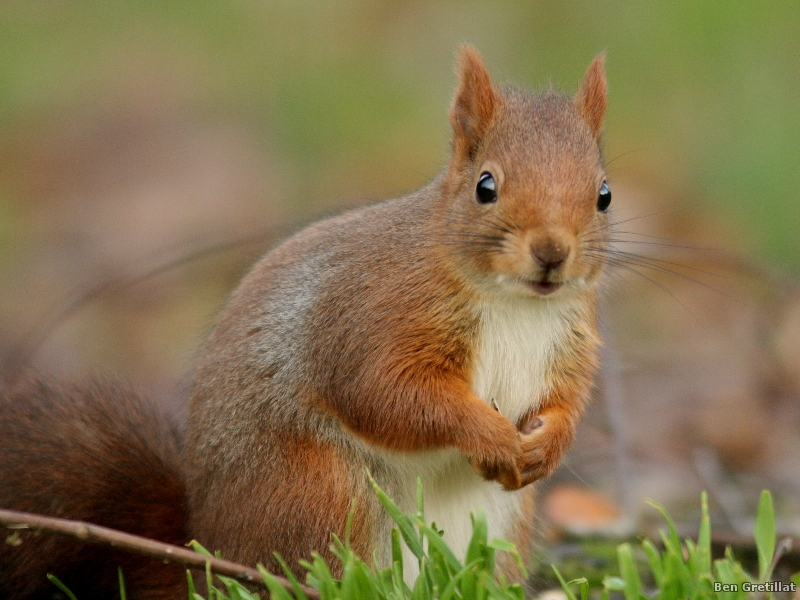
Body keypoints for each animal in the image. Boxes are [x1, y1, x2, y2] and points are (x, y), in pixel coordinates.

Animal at [0, 48, 608, 600]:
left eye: (602, 194)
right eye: (486, 186)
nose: (552, 252)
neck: (517, 304)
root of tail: (212, 556)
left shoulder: (571, 344)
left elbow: (568, 400)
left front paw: (550, 444)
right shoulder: (375, 318)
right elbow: (390, 394)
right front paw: (491, 436)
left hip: (504, 518)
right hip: (318, 492)